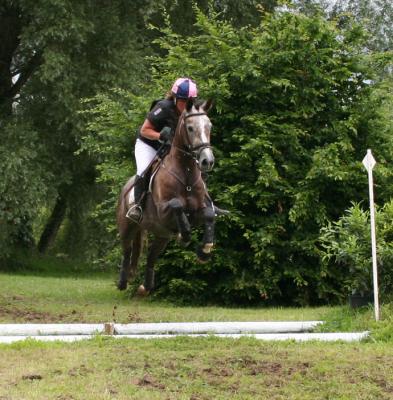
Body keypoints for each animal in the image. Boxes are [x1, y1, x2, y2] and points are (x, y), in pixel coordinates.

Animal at [115, 98, 216, 296]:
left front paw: (205, 251)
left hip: (162, 235)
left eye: (209, 126)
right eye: (190, 128)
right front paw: (184, 235)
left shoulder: (198, 212)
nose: (207, 161)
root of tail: (124, 188)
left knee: (151, 257)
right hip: (127, 226)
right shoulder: (163, 211)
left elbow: (208, 214)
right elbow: (177, 205)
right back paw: (123, 282)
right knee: (127, 250)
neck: (186, 174)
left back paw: (145, 287)